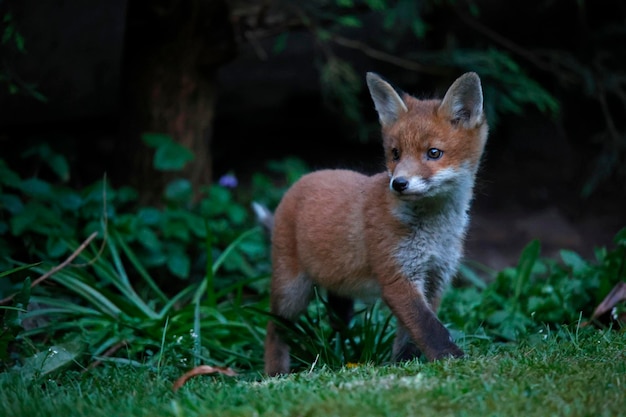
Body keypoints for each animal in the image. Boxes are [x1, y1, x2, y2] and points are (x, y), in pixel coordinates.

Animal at [254, 70, 488, 376]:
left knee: (336, 321)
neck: (434, 230)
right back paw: (276, 374)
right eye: (395, 154)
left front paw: (404, 364)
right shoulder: (397, 276)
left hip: (340, 295)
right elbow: (429, 328)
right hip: (292, 292)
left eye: (434, 153)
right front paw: (453, 360)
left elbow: (411, 333)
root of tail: (302, 180)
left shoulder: (435, 277)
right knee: (274, 328)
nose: (398, 183)